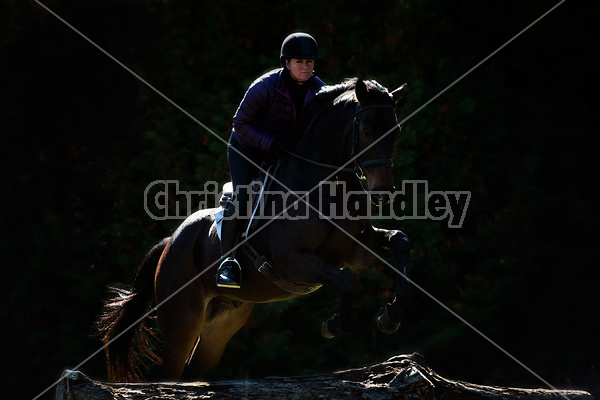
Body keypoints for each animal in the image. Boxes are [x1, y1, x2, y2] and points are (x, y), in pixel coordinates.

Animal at [99, 77, 412, 382]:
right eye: (368, 130)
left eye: (396, 132)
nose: (384, 193)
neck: (325, 183)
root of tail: (168, 243)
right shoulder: (291, 262)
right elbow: (345, 283)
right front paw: (333, 325)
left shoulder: (354, 250)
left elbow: (400, 242)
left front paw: (391, 316)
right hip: (182, 322)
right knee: (169, 373)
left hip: (222, 322)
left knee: (192, 371)